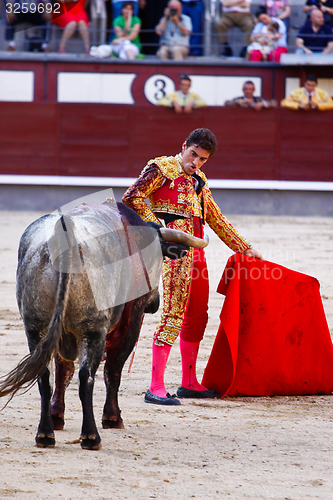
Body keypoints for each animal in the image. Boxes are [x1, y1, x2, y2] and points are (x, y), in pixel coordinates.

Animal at [0, 199, 206, 450]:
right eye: (160, 258)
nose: (155, 302)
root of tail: (63, 237)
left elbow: (63, 371)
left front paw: (57, 416)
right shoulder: (130, 321)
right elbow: (113, 369)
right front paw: (112, 418)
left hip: (35, 329)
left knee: (45, 376)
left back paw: (45, 433)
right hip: (93, 329)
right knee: (86, 376)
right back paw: (91, 436)